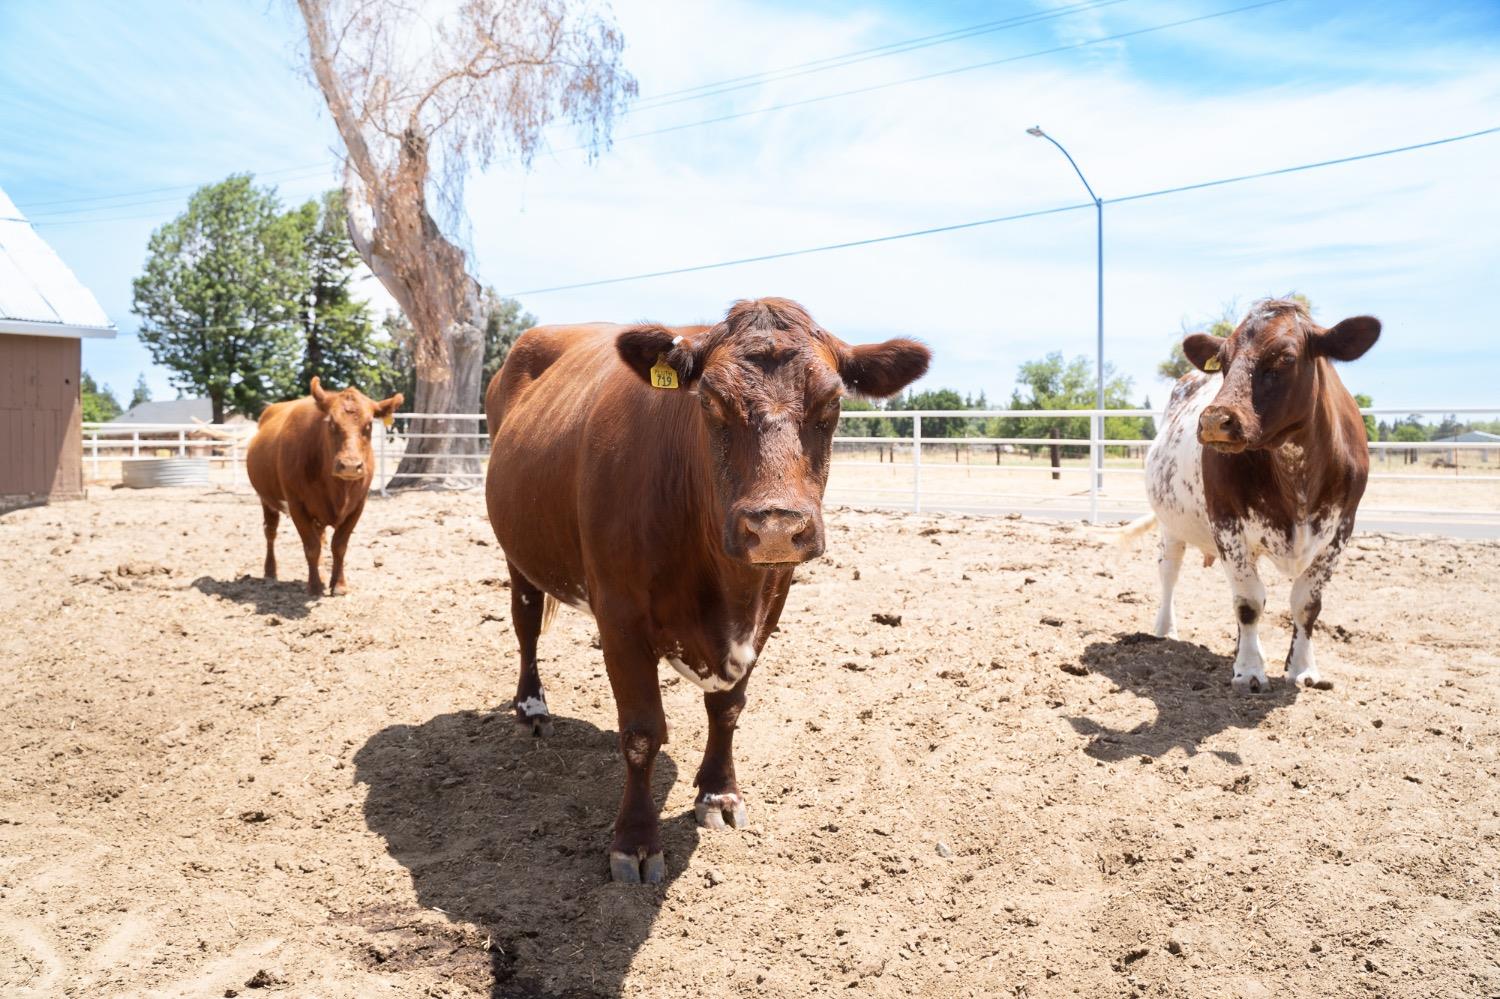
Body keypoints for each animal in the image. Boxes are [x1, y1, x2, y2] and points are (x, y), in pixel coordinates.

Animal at [246, 373, 402, 591]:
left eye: (369, 425)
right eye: (331, 424)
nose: (350, 465)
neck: (337, 489)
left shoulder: (357, 506)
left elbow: (339, 546)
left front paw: (339, 585)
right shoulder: (296, 505)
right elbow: (311, 547)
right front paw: (314, 586)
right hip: (266, 499)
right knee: (270, 532)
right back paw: (270, 571)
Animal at [483, 295, 924, 882]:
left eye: (832, 401)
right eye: (711, 402)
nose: (775, 525)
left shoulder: (768, 607)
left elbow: (729, 709)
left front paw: (718, 794)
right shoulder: (619, 616)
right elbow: (641, 732)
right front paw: (636, 840)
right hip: (518, 554)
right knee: (526, 623)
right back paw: (532, 709)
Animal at [1140, 294, 1374, 684]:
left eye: (1285, 358)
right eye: (1222, 361)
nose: (1215, 420)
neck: (1297, 472)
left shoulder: (1341, 530)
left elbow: (1306, 603)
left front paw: (1302, 667)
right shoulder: (1226, 522)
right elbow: (1248, 601)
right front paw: (1249, 670)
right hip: (1171, 525)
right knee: (1169, 570)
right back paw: (1164, 629)